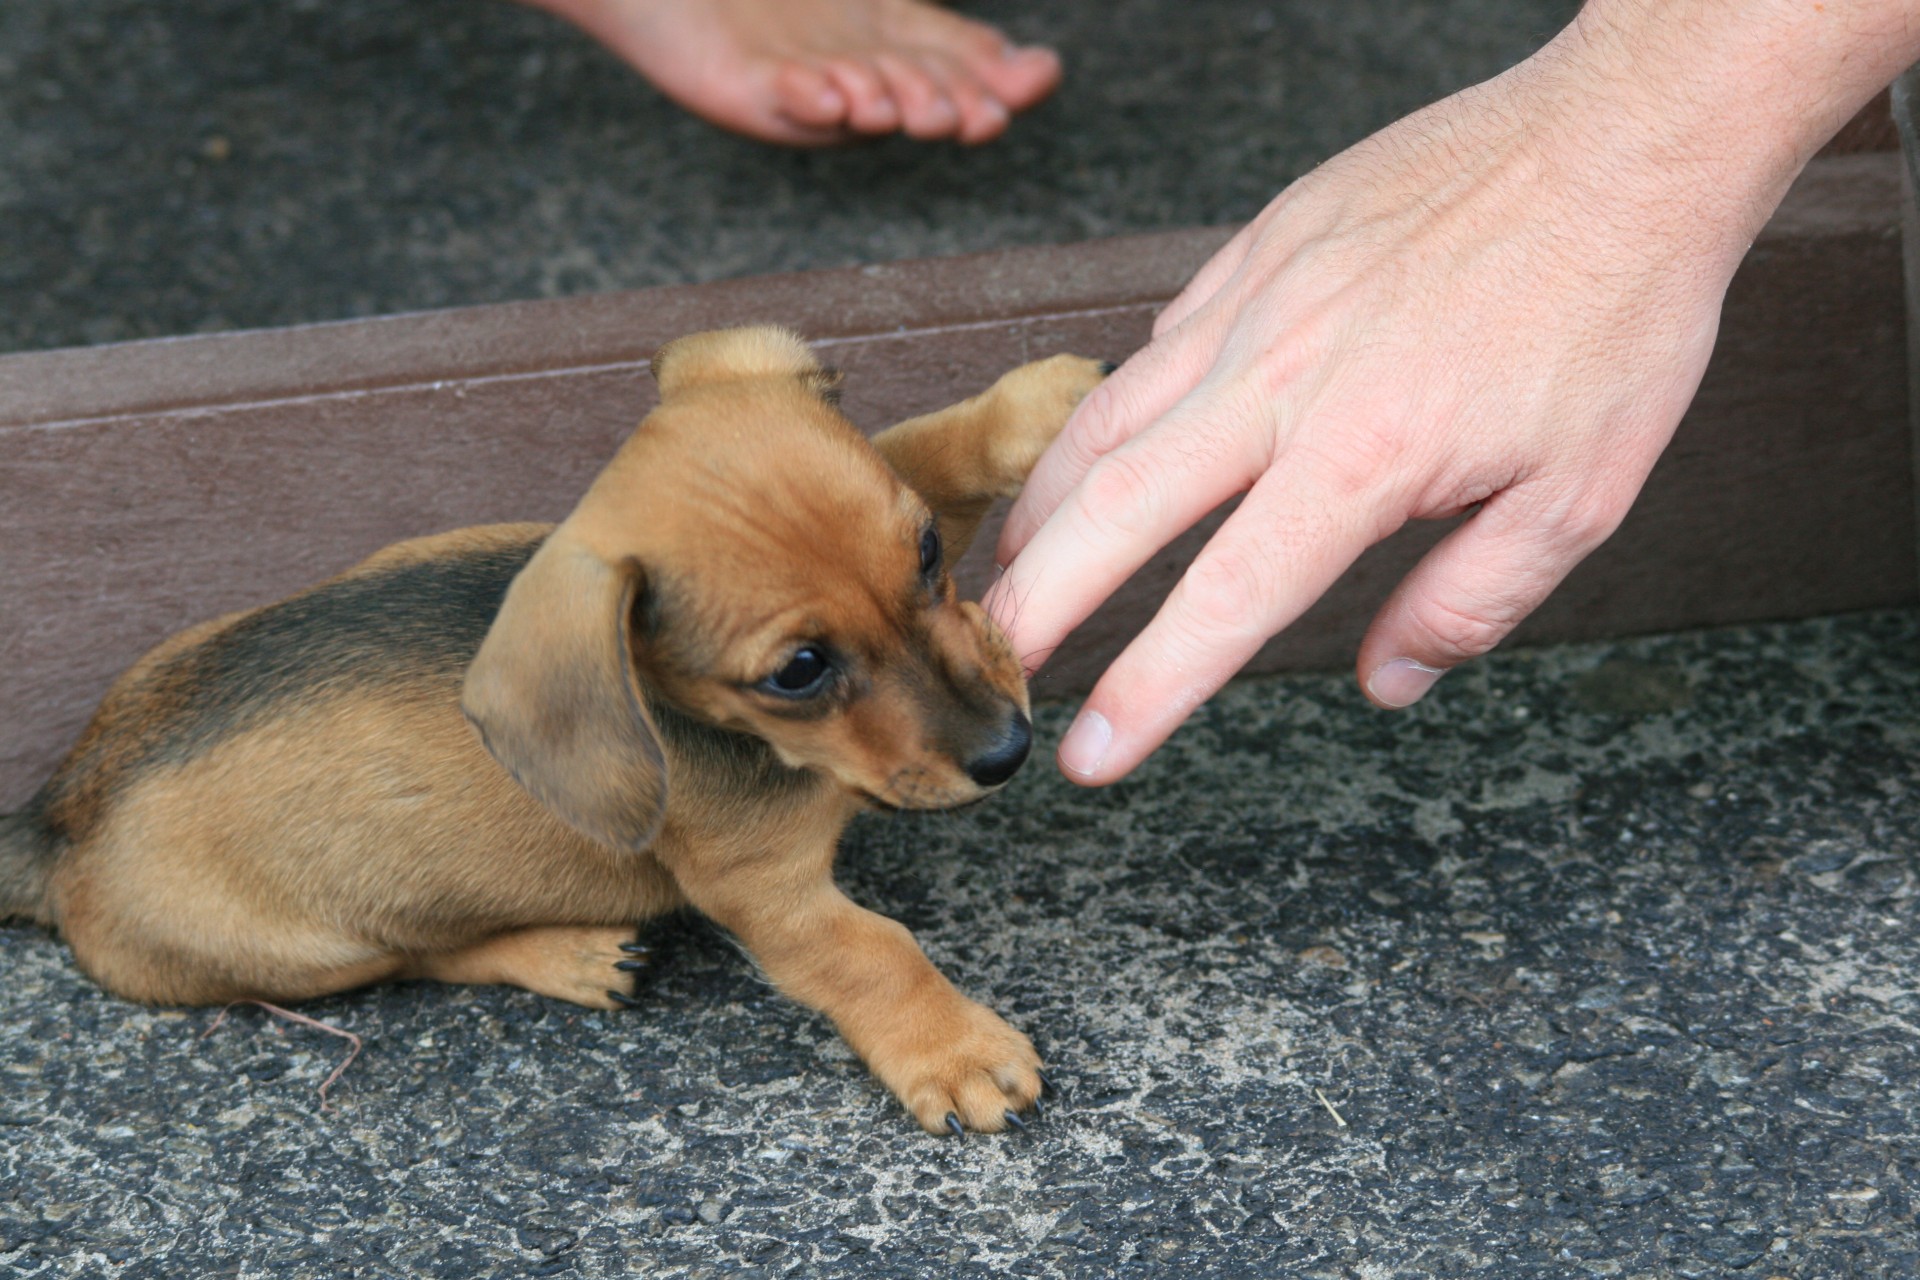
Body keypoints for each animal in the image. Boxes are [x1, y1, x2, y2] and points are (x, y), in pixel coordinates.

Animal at [0, 328, 1113, 1128]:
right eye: (797, 671)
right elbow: (872, 951)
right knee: (427, 958)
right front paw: (953, 1049)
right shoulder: (766, 893)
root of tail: (55, 818)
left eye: (926, 552)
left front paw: (1044, 402)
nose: (1008, 749)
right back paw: (570, 956)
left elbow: (928, 450)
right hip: (313, 953)